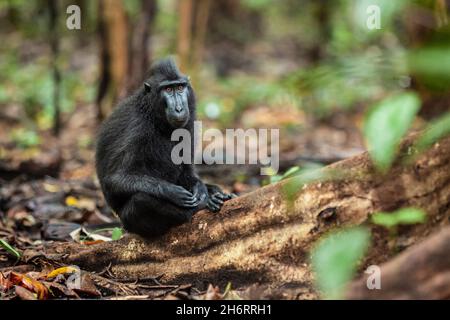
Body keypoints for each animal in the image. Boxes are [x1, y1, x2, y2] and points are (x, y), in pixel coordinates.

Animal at [96, 57, 234, 238]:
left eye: (180, 87)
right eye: (168, 89)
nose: (179, 108)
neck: (153, 114)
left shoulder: (189, 123)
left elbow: (187, 170)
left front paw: (201, 189)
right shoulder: (137, 128)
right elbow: (115, 179)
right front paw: (172, 192)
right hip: (129, 222)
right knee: (141, 200)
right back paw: (203, 204)